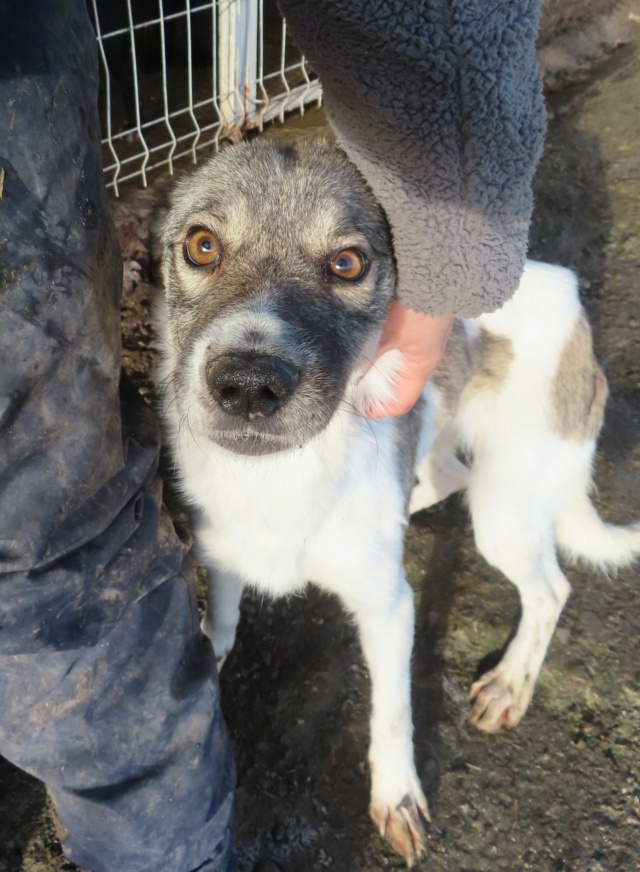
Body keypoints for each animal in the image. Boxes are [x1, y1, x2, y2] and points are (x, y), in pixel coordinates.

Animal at [154, 141, 640, 864]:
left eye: (348, 263)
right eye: (202, 246)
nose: (247, 385)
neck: (278, 481)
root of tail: (566, 286)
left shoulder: (389, 609)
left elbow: (390, 712)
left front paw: (397, 796)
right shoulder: (223, 550)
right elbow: (224, 615)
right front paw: (206, 654)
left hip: (505, 509)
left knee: (551, 588)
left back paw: (510, 684)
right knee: (450, 479)